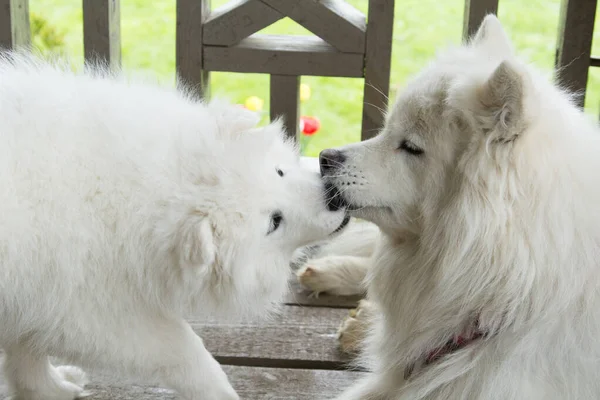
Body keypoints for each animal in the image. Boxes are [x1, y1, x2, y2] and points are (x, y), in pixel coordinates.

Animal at [0, 52, 352, 400]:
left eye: (279, 172)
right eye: (273, 222)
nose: (335, 198)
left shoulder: (34, 295)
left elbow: (26, 349)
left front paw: (49, 389)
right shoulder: (92, 309)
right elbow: (188, 352)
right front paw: (221, 392)